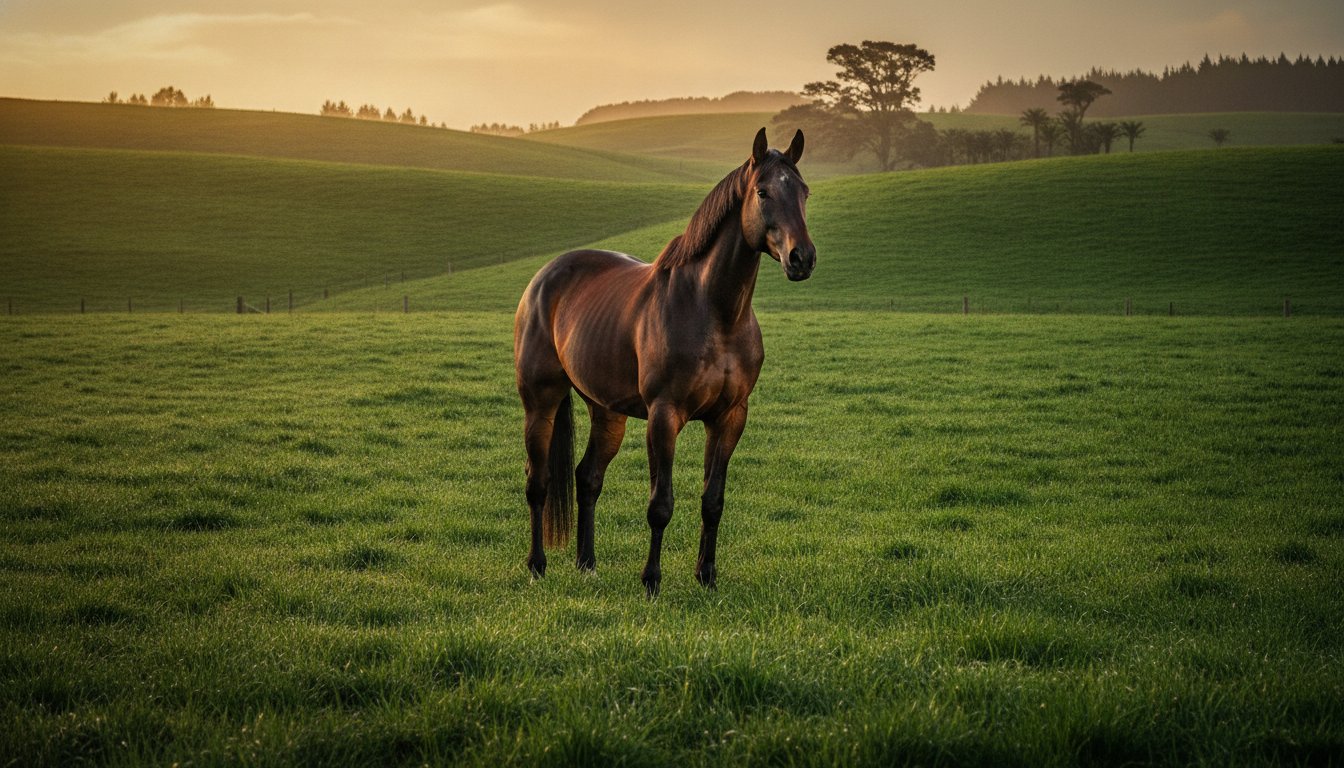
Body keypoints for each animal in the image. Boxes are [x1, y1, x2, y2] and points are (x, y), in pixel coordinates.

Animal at [513, 127, 815, 596]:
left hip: (607, 412)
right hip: (540, 403)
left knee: (587, 478)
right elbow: (660, 503)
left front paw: (706, 576)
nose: (802, 258)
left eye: (803, 192)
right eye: (763, 192)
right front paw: (651, 581)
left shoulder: (730, 416)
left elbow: (713, 501)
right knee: (538, 483)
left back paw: (587, 563)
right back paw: (537, 566)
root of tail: (543, 279)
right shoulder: (664, 415)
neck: (714, 311)